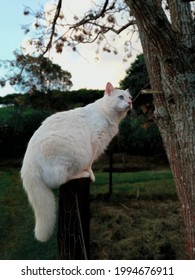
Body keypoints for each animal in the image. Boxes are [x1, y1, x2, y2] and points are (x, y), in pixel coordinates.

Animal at [20, 82, 132, 242]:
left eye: (129, 97)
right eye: (121, 97)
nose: (130, 103)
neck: (109, 116)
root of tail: (27, 164)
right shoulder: (95, 145)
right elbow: (90, 165)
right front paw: (91, 174)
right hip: (74, 155)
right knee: (62, 180)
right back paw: (82, 174)